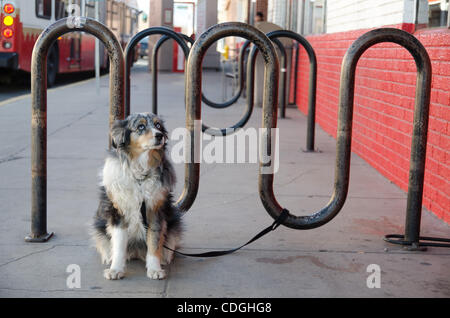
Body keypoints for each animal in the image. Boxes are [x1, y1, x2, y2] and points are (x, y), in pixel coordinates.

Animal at [92, 112, 182, 280]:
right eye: (140, 126)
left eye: (158, 125)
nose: (159, 135)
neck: (140, 173)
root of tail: (136, 252)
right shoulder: (119, 212)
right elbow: (119, 244)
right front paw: (116, 270)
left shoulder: (155, 211)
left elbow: (154, 241)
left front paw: (155, 269)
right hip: (99, 223)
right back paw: (109, 257)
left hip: (174, 221)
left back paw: (164, 257)